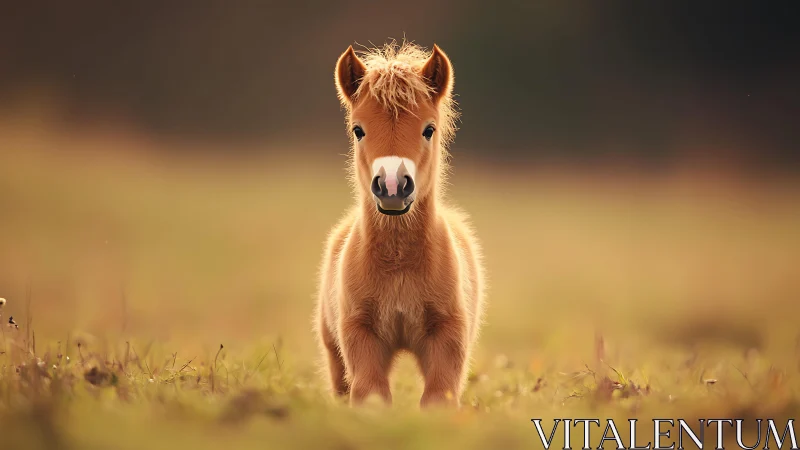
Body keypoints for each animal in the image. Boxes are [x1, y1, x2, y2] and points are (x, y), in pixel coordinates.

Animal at [314, 41, 486, 408]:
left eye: (429, 129)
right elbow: (370, 396)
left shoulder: (448, 336)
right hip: (333, 351)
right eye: (358, 130)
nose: (392, 186)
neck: (399, 265)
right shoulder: (360, 334)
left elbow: (438, 400)